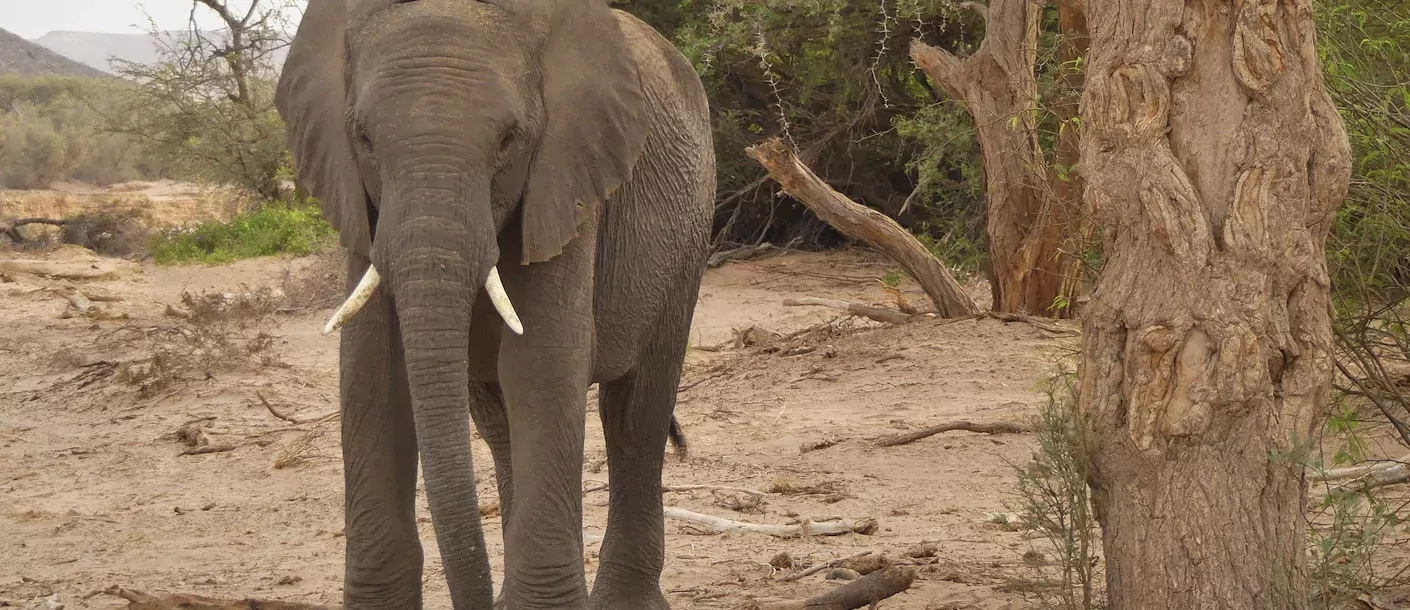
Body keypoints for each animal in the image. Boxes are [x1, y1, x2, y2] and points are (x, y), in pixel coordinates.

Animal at [273, 2, 716, 605]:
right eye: (363, 138)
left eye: (509, 140)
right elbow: (370, 371)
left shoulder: (567, 174)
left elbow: (542, 364)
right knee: (497, 422)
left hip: (691, 231)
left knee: (635, 413)